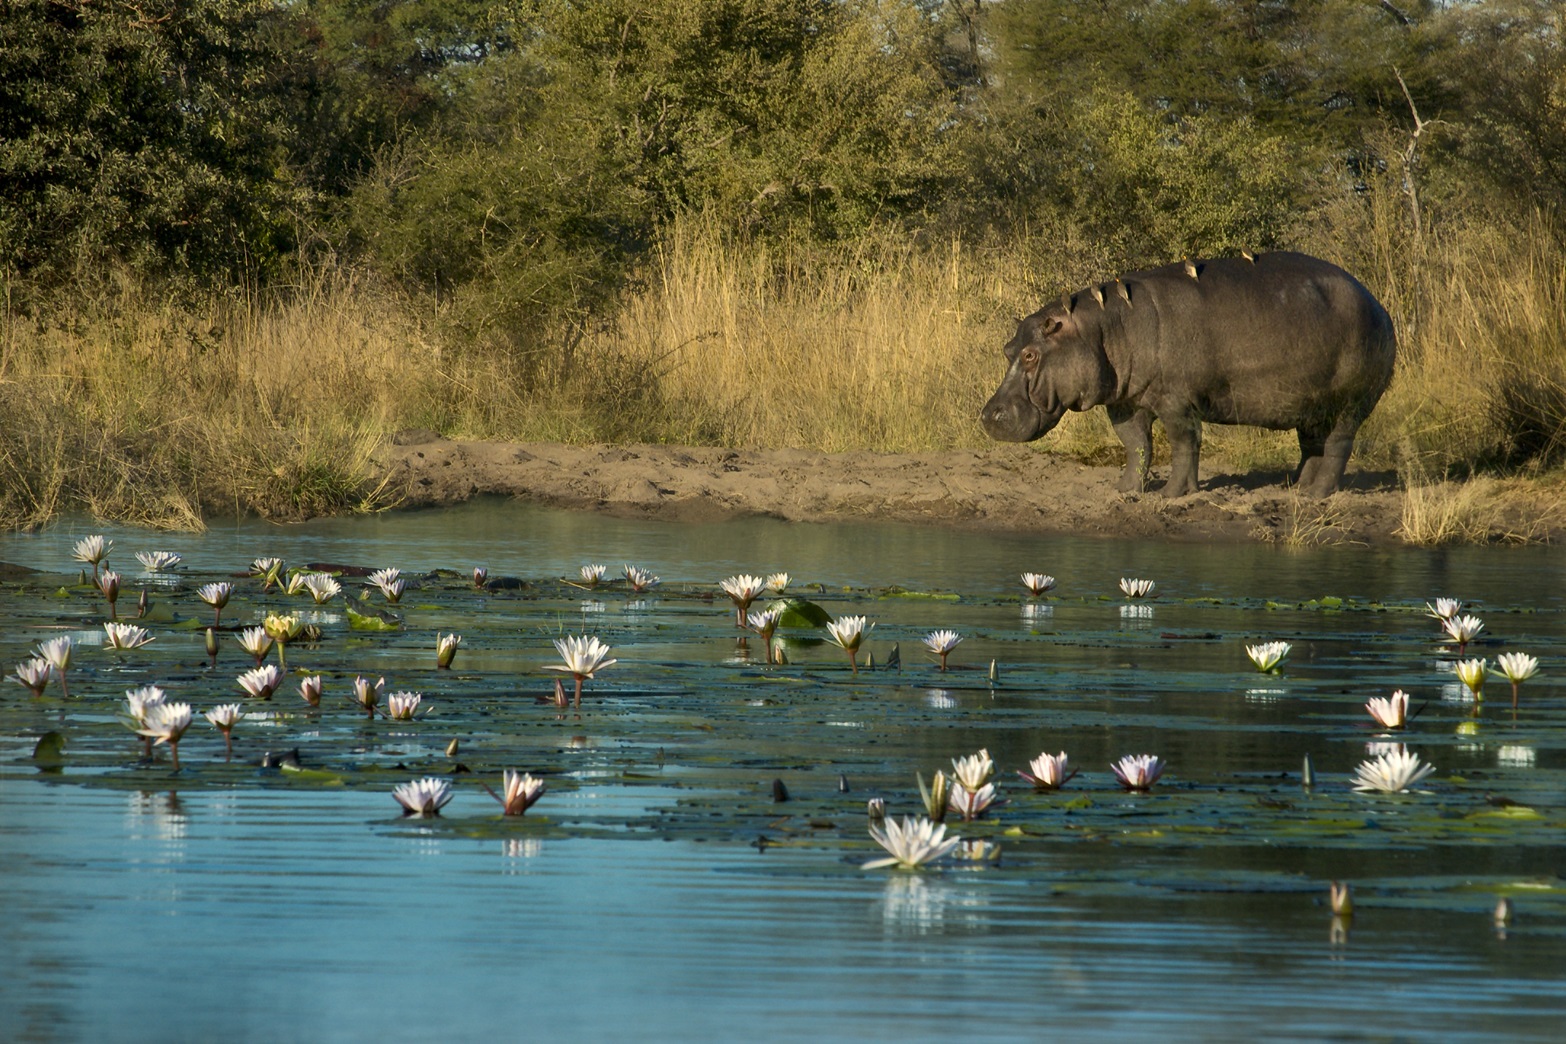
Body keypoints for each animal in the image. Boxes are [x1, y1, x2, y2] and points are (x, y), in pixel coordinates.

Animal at [980, 251, 1396, 497]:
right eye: (1007, 349)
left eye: (1031, 355)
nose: (987, 414)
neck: (1100, 327)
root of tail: (1379, 305)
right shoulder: (1126, 401)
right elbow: (1135, 444)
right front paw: (1125, 490)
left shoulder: (1175, 401)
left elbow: (1183, 443)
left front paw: (1172, 494)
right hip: (1311, 406)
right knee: (1312, 446)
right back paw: (1293, 487)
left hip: (1351, 402)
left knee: (1339, 444)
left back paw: (1316, 495)